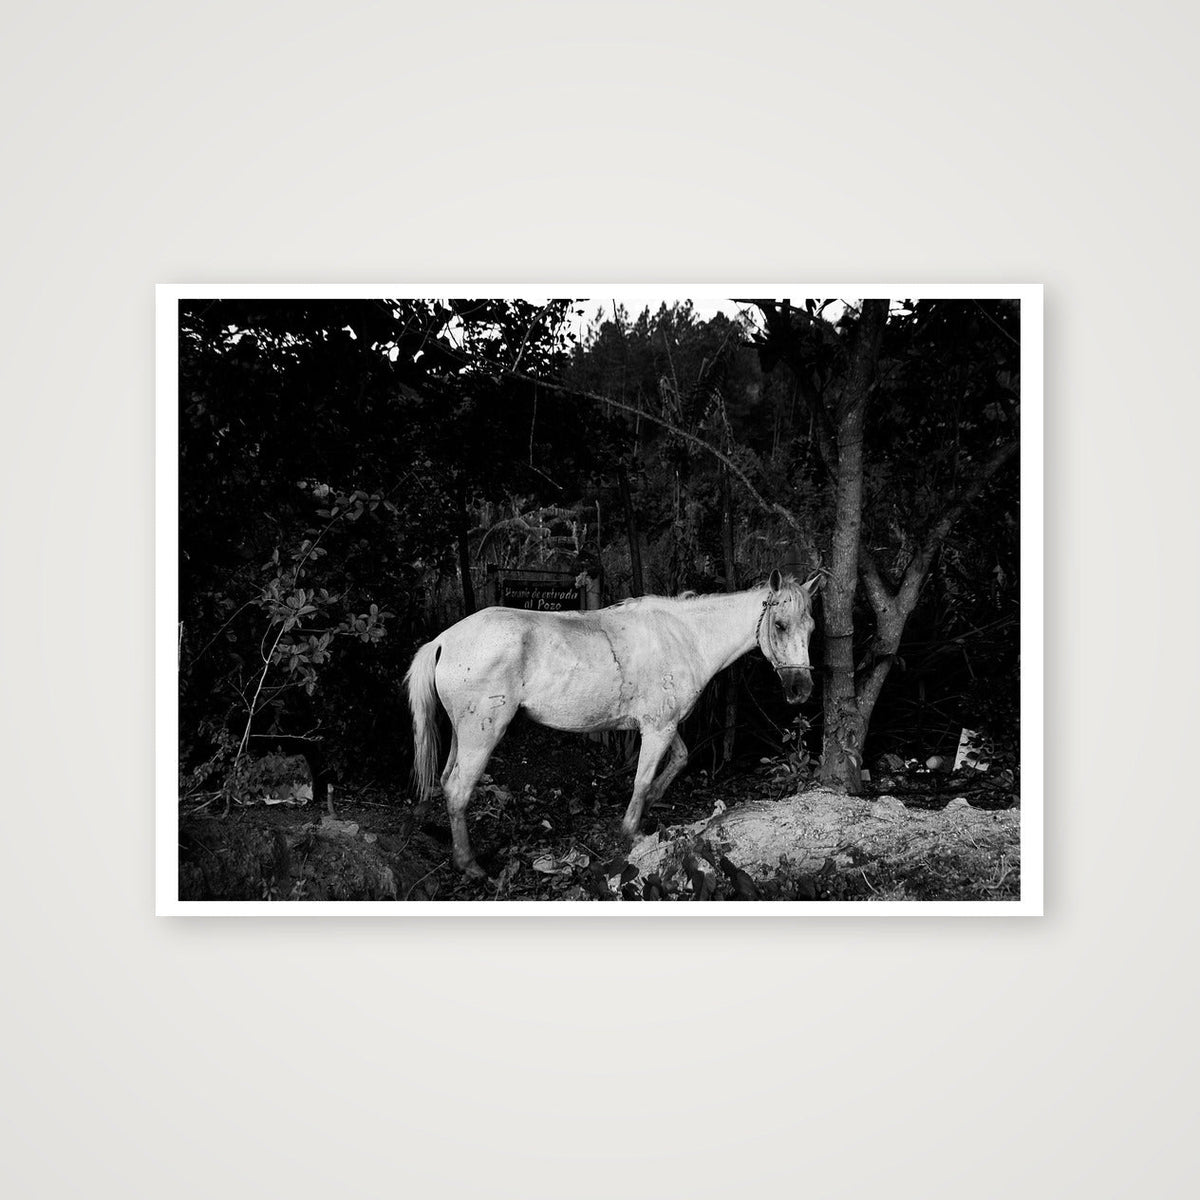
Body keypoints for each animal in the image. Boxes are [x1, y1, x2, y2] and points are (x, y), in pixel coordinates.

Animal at [405, 569, 819, 878]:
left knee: (446, 782)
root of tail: (444, 640)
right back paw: (469, 865)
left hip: (462, 735)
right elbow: (643, 778)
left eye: (811, 628)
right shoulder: (658, 728)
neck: (686, 636)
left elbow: (679, 760)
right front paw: (632, 830)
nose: (801, 690)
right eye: (780, 625)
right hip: (482, 735)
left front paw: (652, 802)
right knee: (458, 790)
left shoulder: (663, 726)